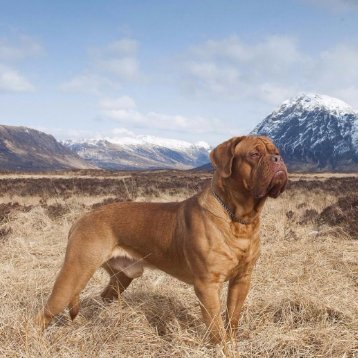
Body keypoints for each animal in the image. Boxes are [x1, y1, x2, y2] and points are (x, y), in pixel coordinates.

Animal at [35, 136, 288, 342]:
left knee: (104, 296)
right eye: (254, 154)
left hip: (122, 277)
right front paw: (222, 347)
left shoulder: (242, 280)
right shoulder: (207, 286)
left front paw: (233, 342)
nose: (278, 159)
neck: (238, 220)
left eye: (276, 151)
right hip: (75, 273)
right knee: (43, 314)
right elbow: (216, 328)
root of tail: (81, 218)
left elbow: (232, 319)